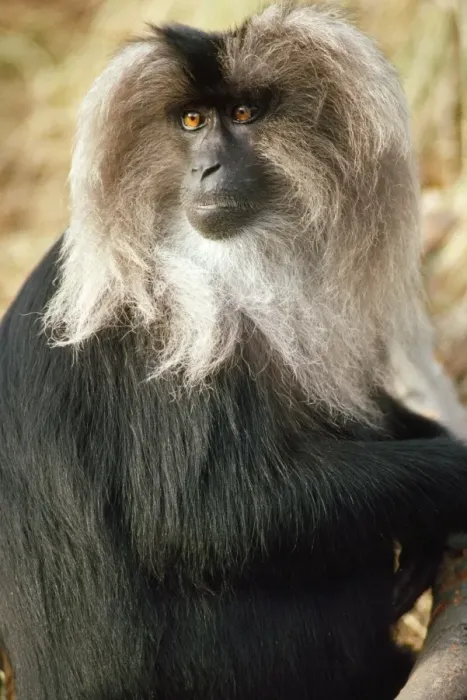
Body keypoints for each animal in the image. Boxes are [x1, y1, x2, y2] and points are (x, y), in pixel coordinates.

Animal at [1, 4, 467, 699]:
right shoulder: (165, 323)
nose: (207, 170)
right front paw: (451, 477)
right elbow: (206, 518)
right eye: (193, 122)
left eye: (243, 114)